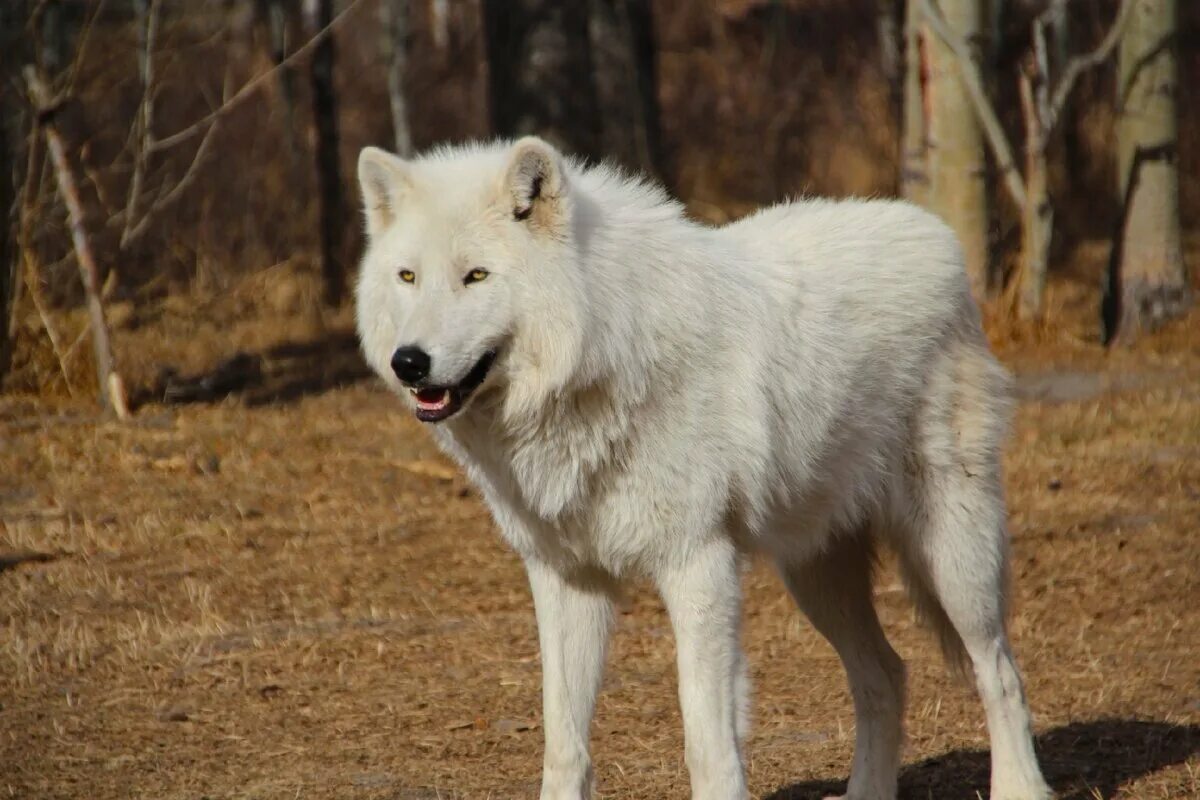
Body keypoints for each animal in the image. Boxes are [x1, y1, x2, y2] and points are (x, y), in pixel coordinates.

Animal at [355, 139, 1051, 800]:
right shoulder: (566, 579)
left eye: (476, 275)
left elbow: (707, 744)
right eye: (408, 276)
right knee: (887, 674)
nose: (408, 362)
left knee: (1001, 673)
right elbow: (563, 742)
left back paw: (1020, 786)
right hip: (817, 576)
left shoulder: (699, 565)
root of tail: (936, 233)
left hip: (952, 558)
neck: (603, 355)